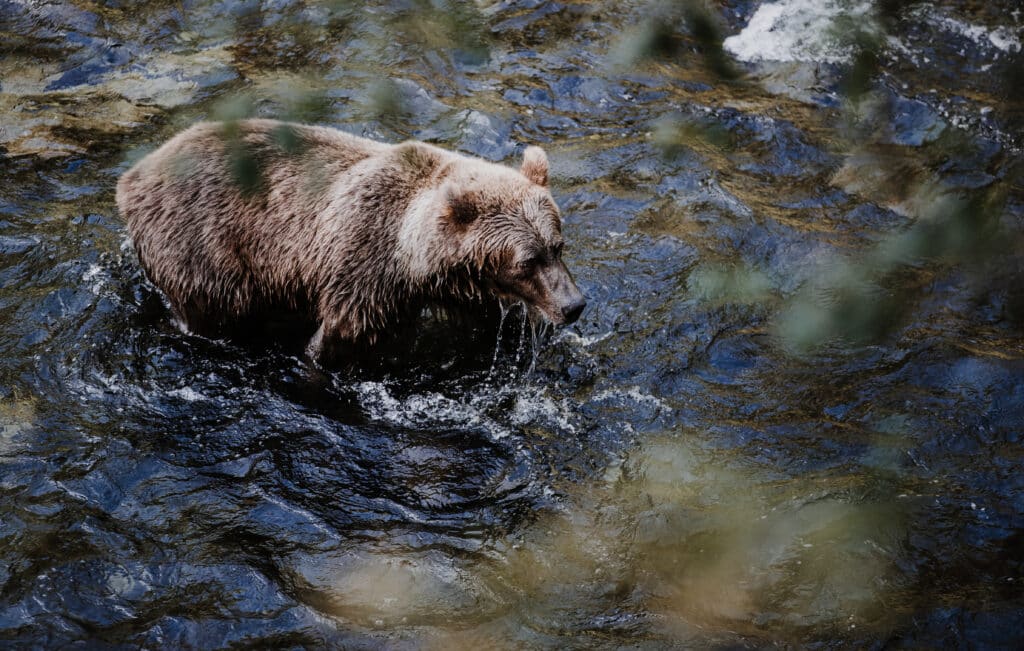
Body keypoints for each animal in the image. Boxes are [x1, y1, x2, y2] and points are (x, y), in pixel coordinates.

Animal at [115, 118, 585, 361]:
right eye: (526, 261)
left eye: (557, 246)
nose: (574, 305)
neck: (410, 258)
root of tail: (132, 176)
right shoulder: (361, 266)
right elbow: (340, 337)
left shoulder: (453, 288)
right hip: (203, 245)